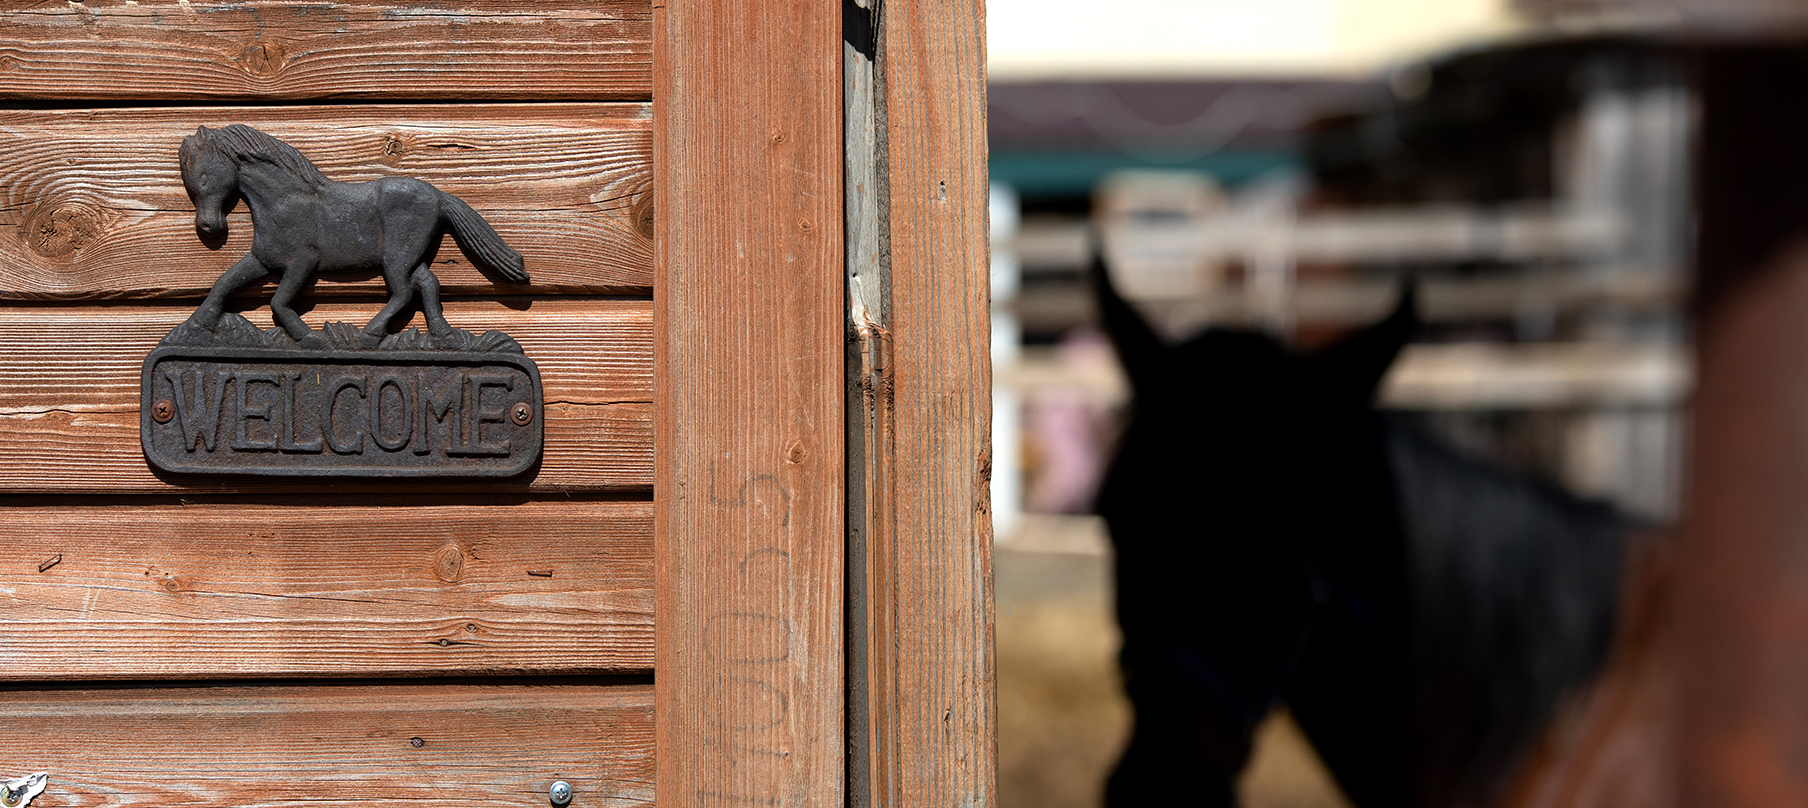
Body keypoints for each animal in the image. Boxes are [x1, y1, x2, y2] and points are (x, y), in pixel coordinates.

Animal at [176, 124, 527, 347]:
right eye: (189, 184)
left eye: (204, 177)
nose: (208, 227)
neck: (282, 200)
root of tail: (440, 196)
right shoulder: (263, 260)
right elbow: (225, 282)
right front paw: (198, 325)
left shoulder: (302, 261)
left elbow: (279, 300)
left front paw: (310, 338)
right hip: (409, 257)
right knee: (428, 284)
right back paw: (443, 336)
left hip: (396, 257)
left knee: (404, 293)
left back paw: (369, 335)